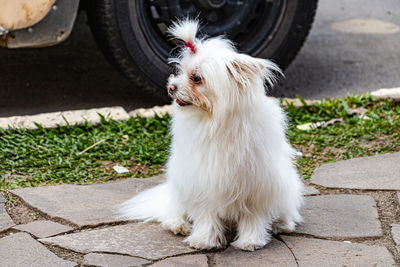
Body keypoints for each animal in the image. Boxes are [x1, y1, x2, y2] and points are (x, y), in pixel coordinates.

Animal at [120, 18, 304, 251]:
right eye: (179, 71)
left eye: (197, 78)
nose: (171, 87)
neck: (214, 121)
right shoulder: (203, 180)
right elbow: (206, 214)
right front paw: (203, 240)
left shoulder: (258, 184)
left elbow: (253, 216)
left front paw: (250, 240)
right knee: (175, 208)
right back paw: (177, 224)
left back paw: (283, 223)